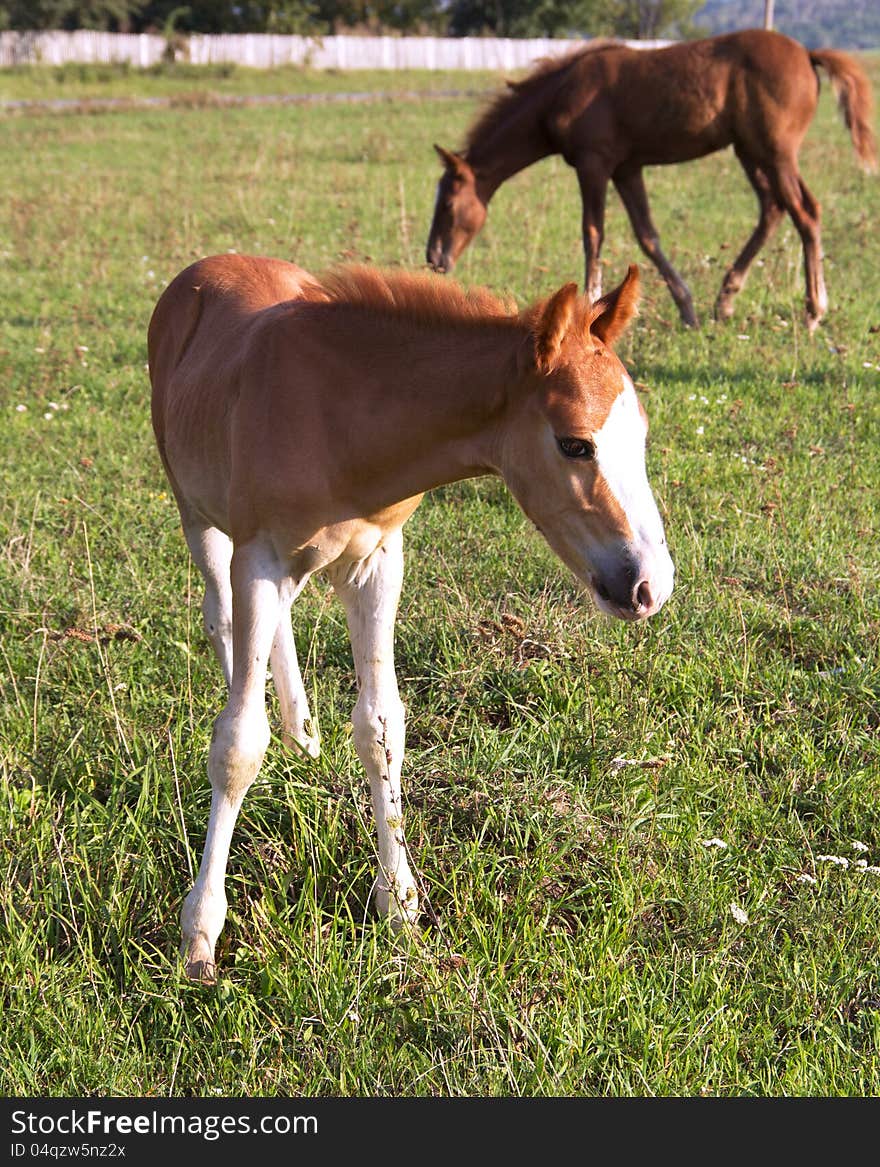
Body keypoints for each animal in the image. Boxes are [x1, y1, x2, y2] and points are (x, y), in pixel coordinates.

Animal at [149, 255, 672, 984]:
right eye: (574, 444)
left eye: (642, 434)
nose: (649, 584)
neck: (340, 417)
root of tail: (205, 268)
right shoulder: (257, 557)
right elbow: (237, 743)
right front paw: (200, 932)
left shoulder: (378, 560)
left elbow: (381, 726)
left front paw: (398, 902)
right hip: (199, 516)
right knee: (223, 618)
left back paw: (303, 731)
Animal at [424, 26, 872, 333]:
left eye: (447, 203)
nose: (434, 259)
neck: (562, 93)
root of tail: (807, 53)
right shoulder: (628, 168)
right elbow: (647, 235)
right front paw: (686, 307)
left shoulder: (594, 164)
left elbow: (593, 233)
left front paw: (589, 302)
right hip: (749, 152)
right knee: (773, 209)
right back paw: (725, 299)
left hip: (777, 154)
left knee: (805, 213)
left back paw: (814, 311)